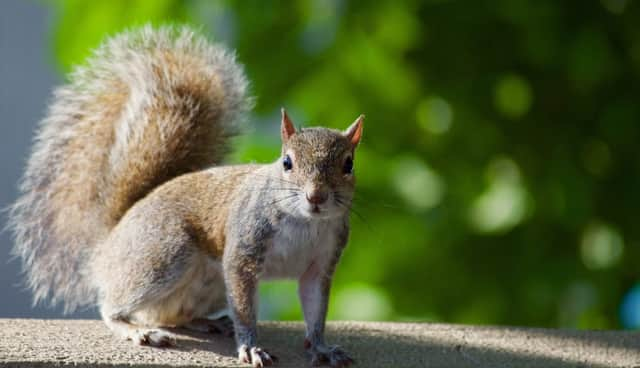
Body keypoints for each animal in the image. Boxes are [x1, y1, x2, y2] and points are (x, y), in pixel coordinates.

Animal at [7, 24, 362, 366]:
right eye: (287, 162)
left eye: (349, 164)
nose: (316, 197)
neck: (304, 223)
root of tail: (107, 245)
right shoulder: (244, 249)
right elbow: (245, 309)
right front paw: (250, 347)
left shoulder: (321, 263)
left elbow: (315, 311)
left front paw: (322, 348)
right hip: (163, 255)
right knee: (114, 307)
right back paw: (137, 331)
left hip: (208, 284)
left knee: (172, 314)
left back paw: (207, 322)